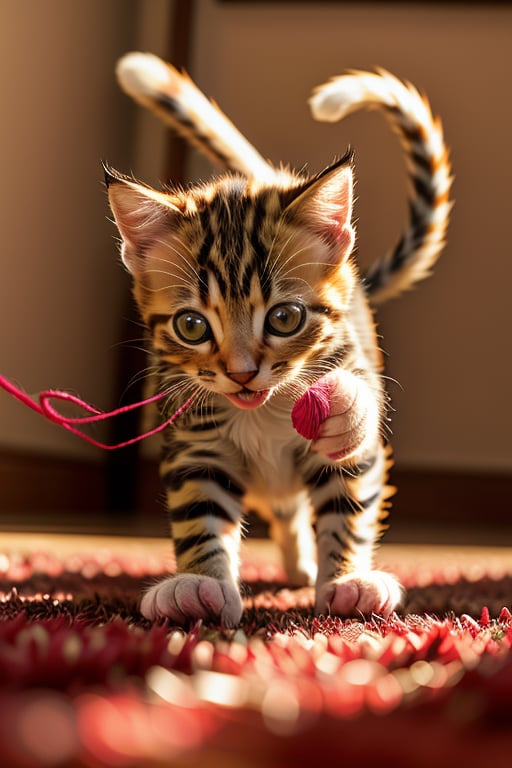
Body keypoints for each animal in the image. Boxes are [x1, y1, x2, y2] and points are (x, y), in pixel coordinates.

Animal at [105, 57, 452, 628]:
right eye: (192, 326)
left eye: (285, 318)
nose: (242, 372)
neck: (262, 414)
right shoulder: (195, 439)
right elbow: (200, 508)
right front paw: (199, 584)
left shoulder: (352, 423)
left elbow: (348, 501)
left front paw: (347, 580)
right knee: (286, 509)